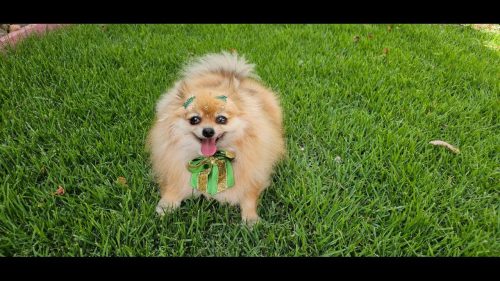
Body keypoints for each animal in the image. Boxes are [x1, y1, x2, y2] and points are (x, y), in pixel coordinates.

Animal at [146, 51, 284, 224]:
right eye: (194, 119)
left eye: (221, 119)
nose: (208, 131)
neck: (212, 159)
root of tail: (229, 72)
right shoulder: (174, 169)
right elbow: (173, 187)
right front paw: (166, 206)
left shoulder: (253, 174)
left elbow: (248, 196)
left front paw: (250, 219)